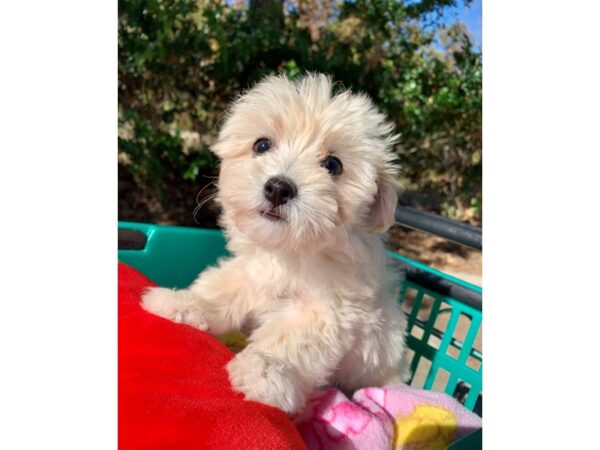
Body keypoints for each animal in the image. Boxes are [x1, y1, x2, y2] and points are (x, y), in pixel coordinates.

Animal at [143, 74, 410, 414]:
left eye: (333, 165)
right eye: (262, 144)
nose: (278, 188)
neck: (289, 250)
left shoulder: (328, 309)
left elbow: (293, 338)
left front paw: (266, 371)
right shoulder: (250, 271)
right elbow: (222, 288)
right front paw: (184, 303)